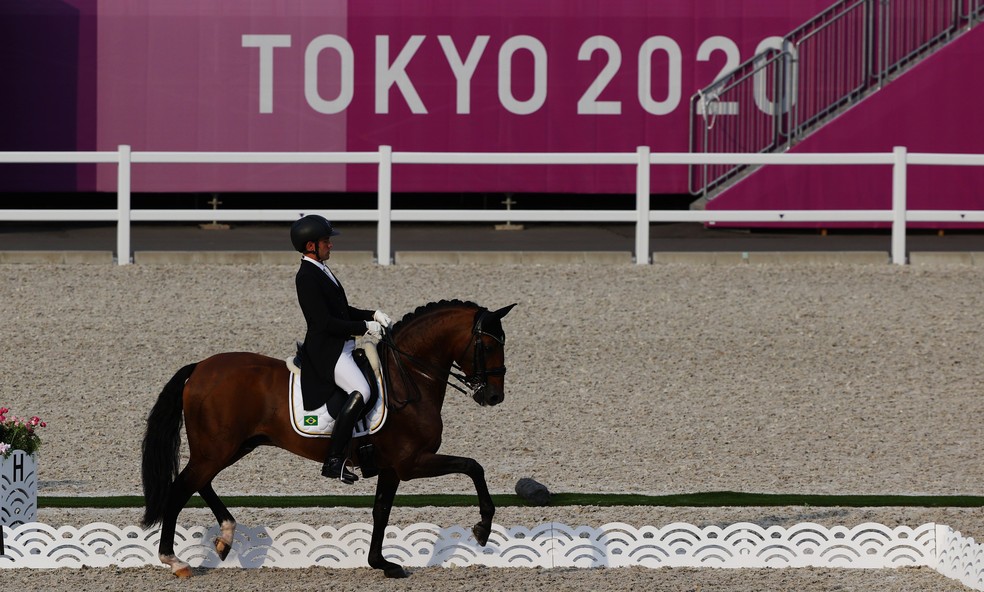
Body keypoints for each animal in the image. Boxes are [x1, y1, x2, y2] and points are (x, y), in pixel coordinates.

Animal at [144, 300, 524, 580]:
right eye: (489, 345)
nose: (494, 396)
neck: (410, 377)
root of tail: (199, 368)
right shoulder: (411, 462)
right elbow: (473, 467)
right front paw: (482, 529)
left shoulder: (392, 468)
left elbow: (381, 511)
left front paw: (382, 563)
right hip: (217, 449)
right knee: (181, 488)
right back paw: (175, 561)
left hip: (230, 447)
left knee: (199, 483)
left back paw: (224, 538)